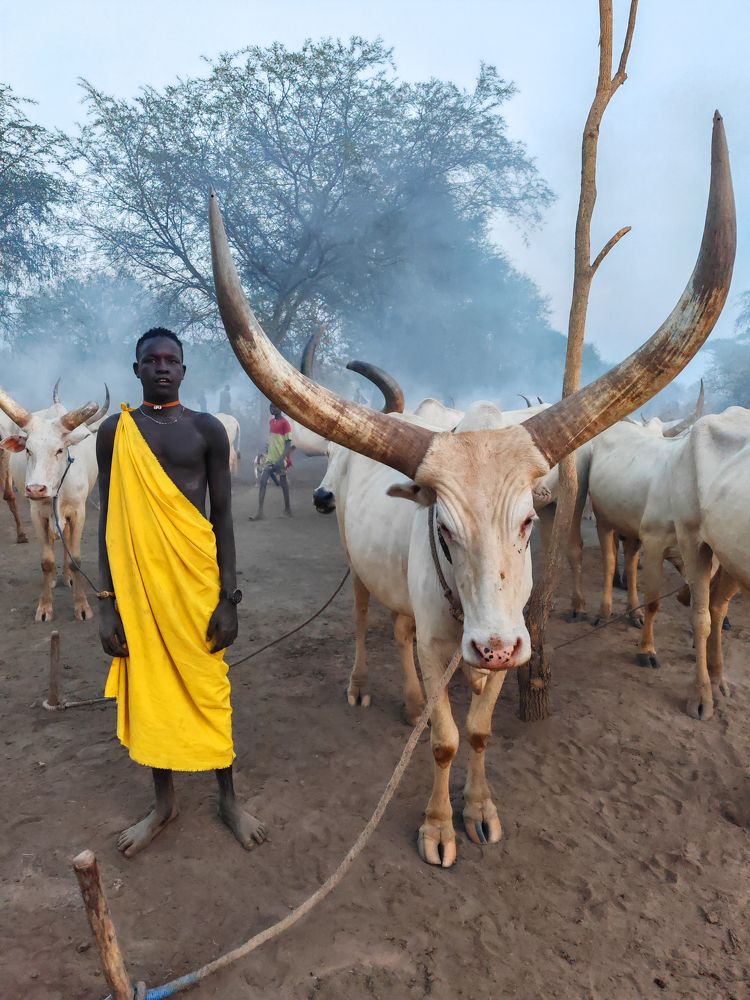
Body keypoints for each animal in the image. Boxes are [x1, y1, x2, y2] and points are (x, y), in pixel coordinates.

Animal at [0, 388, 109, 621]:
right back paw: (53, 579)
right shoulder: (37, 514)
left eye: (59, 450)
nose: (35, 489)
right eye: (28, 450)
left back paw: (67, 577)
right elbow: (47, 561)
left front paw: (82, 607)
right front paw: (44, 607)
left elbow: (75, 558)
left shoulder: (78, 512)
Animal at [209, 111, 735, 865]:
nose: (492, 648)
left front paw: (480, 809)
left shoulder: (506, 640)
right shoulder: (442, 647)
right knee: (369, 621)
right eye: (445, 528)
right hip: (358, 569)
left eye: (527, 522)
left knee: (399, 626)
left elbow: (480, 732)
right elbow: (444, 738)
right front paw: (437, 826)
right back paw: (365, 686)